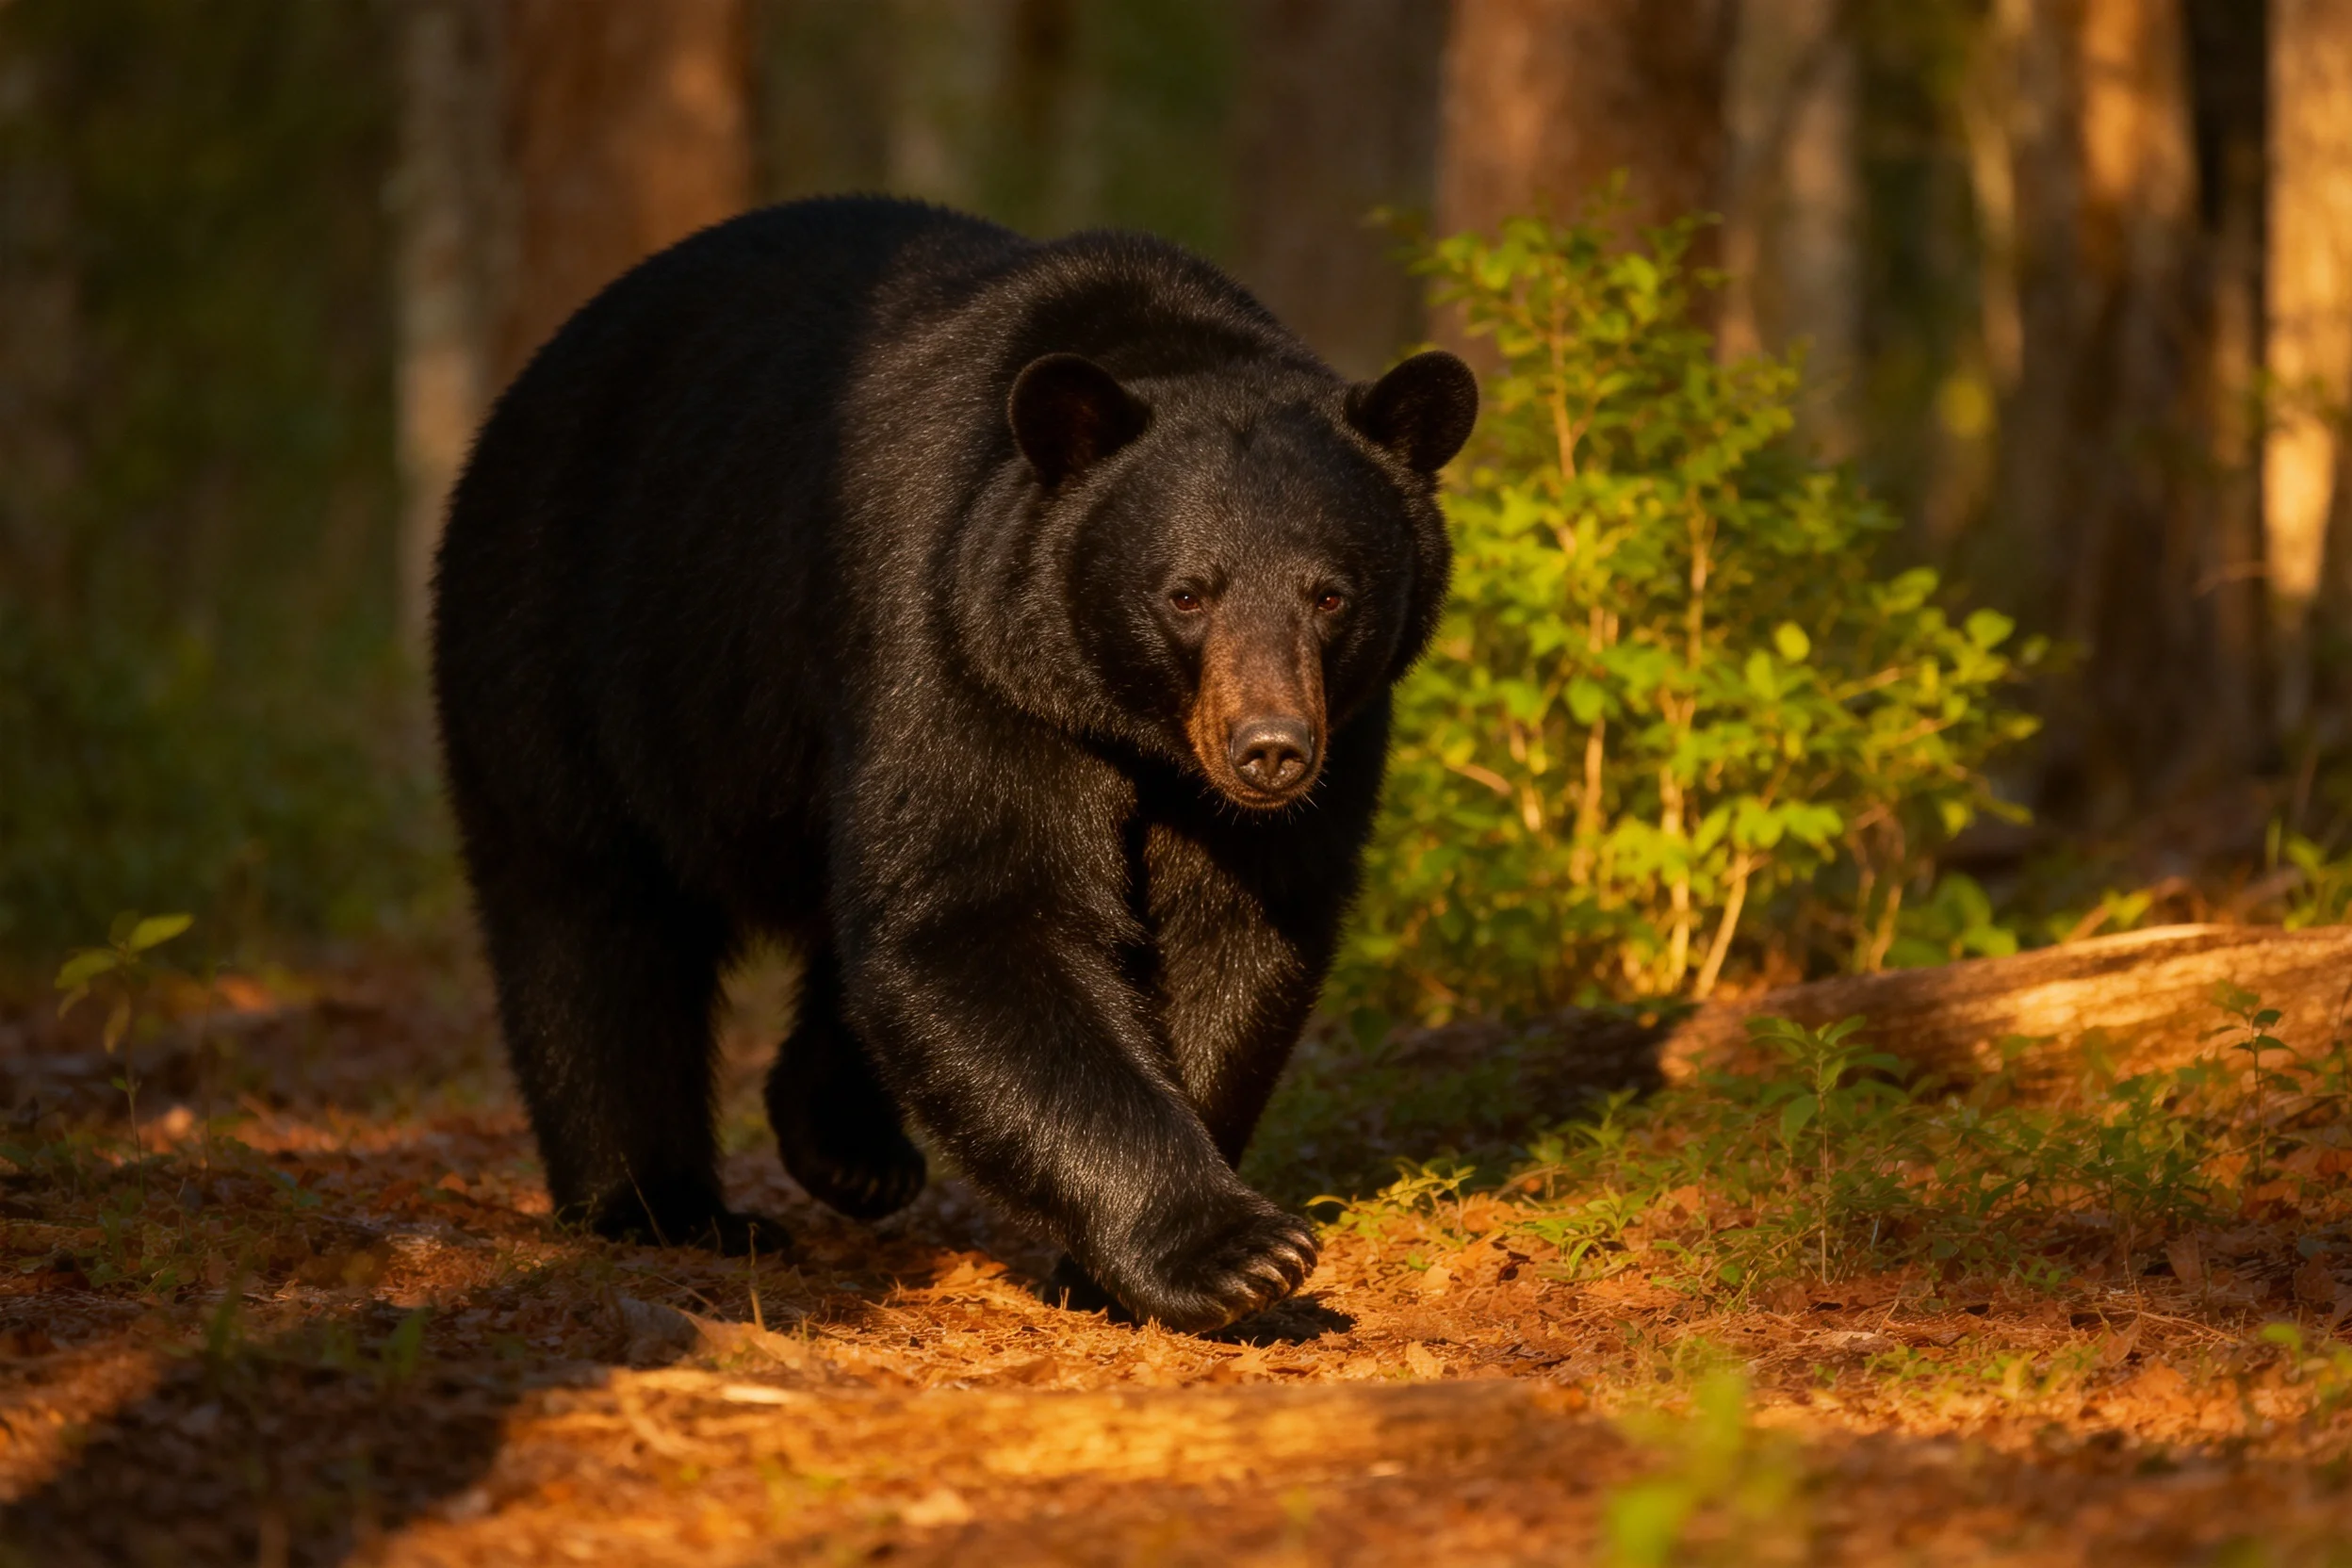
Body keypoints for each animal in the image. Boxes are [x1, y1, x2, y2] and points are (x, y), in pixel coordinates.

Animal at [431, 195, 1475, 1333]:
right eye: (1188, 592)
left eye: (1330, 594)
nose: (1271, 749)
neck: (1125, 721)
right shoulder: (956, 643)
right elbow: (979, 914)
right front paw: (1238, 1250)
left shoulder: (1330, 734)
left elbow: (1235, 932)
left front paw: (1117, 1266)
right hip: (568, 630)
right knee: (589, 913)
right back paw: (659, 1204)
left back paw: (847, 1145)